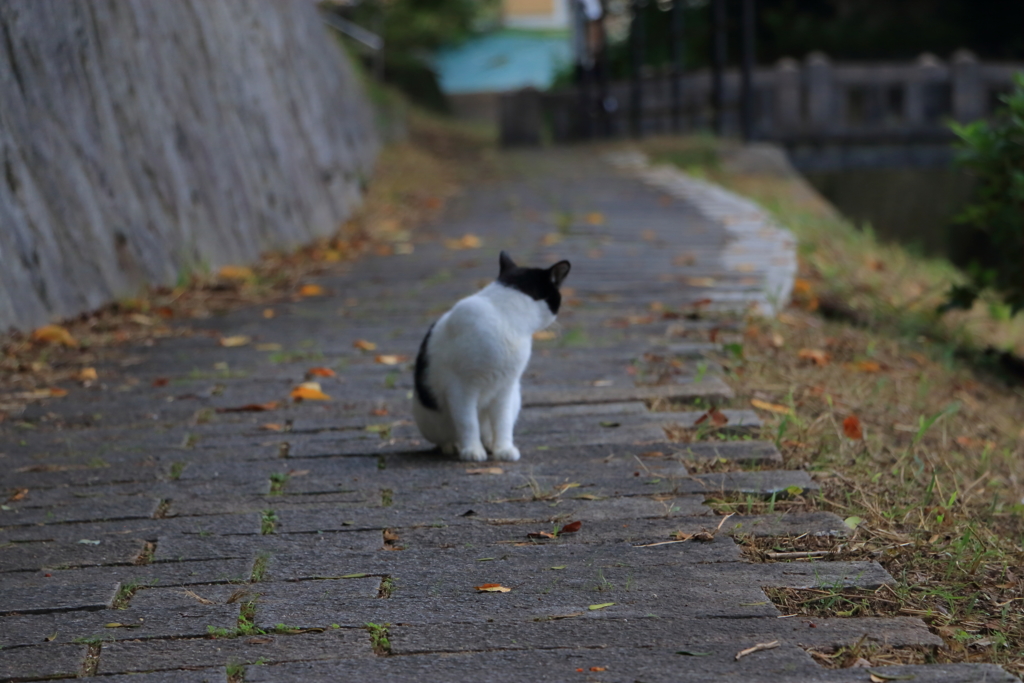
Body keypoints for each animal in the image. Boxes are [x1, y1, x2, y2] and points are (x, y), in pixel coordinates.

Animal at [411, 253, 573, 462]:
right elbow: (468, 422)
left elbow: (503, 423)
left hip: (515, 397)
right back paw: (454, 446)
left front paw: (503, 449)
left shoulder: (506, 387)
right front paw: (472, 450)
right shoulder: (461, 389)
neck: (506, 317)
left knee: (489, 429)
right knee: (448, 436)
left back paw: (489, 444)